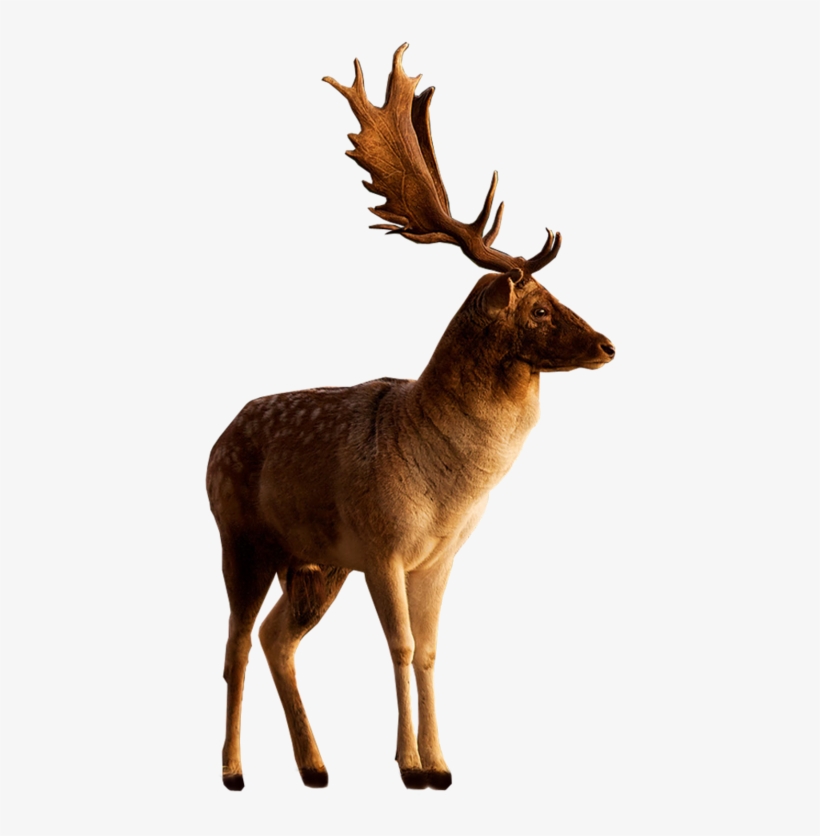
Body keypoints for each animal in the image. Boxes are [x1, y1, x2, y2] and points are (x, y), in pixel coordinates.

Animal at [207, 43, 615, 793]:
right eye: (539, 307)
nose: (608, 345)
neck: (449, 488)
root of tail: (214, 440)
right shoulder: (383, 546)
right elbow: (398, 647)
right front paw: (408, 766)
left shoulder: (439, 557)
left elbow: (427, 651)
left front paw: (442, 763)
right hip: (240, 537)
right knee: (237, 642)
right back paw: (233, 771)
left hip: (315, 563)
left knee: (278, 638)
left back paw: (314, 766)